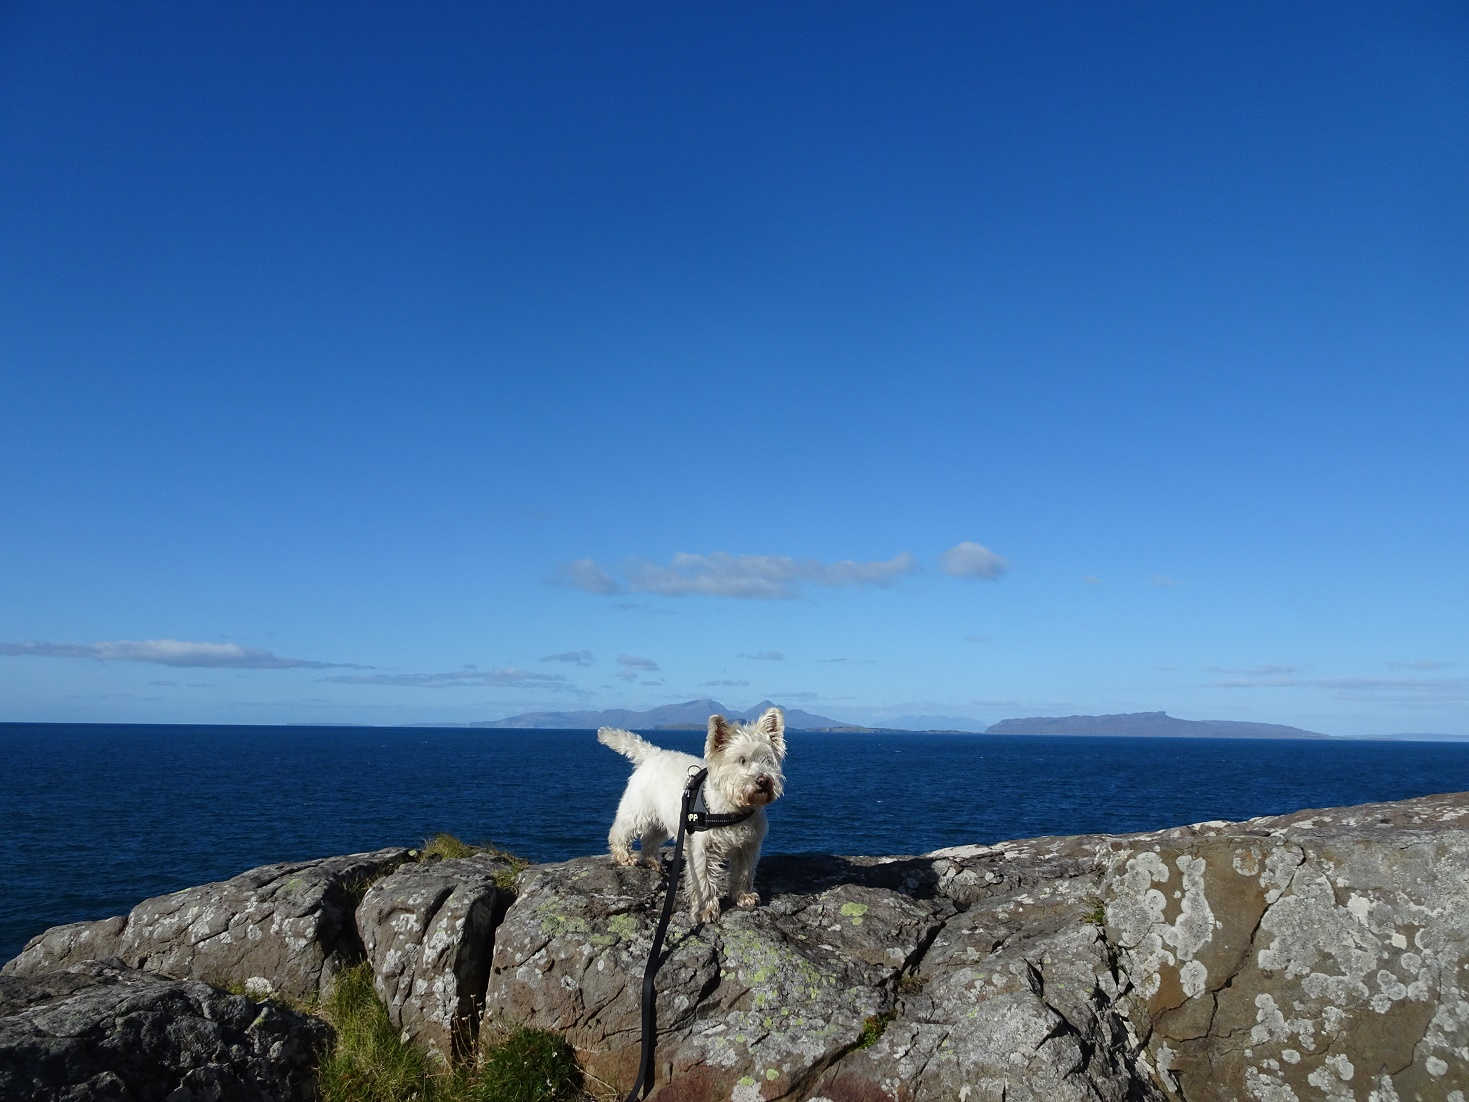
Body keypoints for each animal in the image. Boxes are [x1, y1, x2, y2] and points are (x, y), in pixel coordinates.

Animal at [596, 708, 787, 922]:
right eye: (742, 760)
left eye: (767, 760)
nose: (763, 780)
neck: (733, 809)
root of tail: (653, 754)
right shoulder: (702, 847)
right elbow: (703, 880)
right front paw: (705, 910)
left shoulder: (748, 845)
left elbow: (743, 873)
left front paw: (743, 896)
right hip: (639, 810)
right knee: (620, 830)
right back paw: (624, 856)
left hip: (665, 819)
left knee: (650, 839)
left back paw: (652, 860)